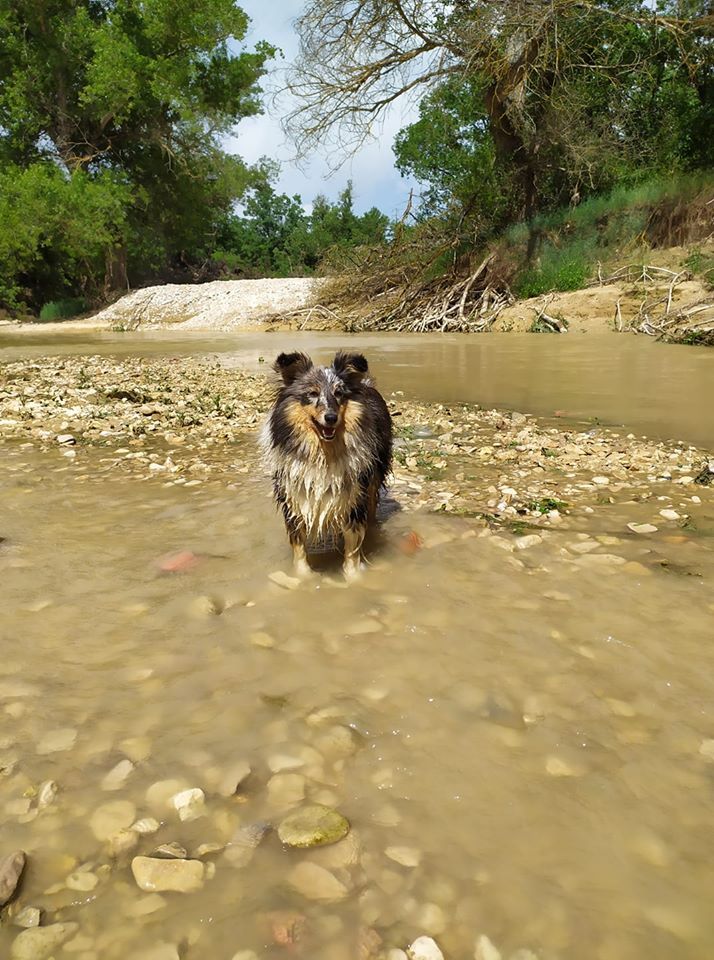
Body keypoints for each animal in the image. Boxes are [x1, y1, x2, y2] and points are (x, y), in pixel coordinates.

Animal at [262, 350, 392, 576]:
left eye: (339, 393)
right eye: (312, 393)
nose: (331, 417)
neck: (323, 454)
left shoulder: (353, 498)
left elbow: (352, 548)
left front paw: (353, 577)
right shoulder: (296, 498)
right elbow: (299, 548)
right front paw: (303, 577)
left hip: (372, 480)